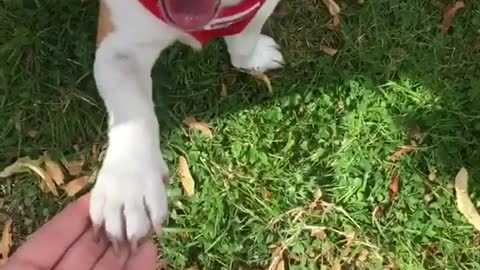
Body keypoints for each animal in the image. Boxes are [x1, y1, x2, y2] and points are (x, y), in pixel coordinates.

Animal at [90, 0, 284, 245]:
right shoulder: (121, 48)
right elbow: (133, 112)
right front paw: (129, 182)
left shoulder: (257, 9)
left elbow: (245, 41)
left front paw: (251, 60)